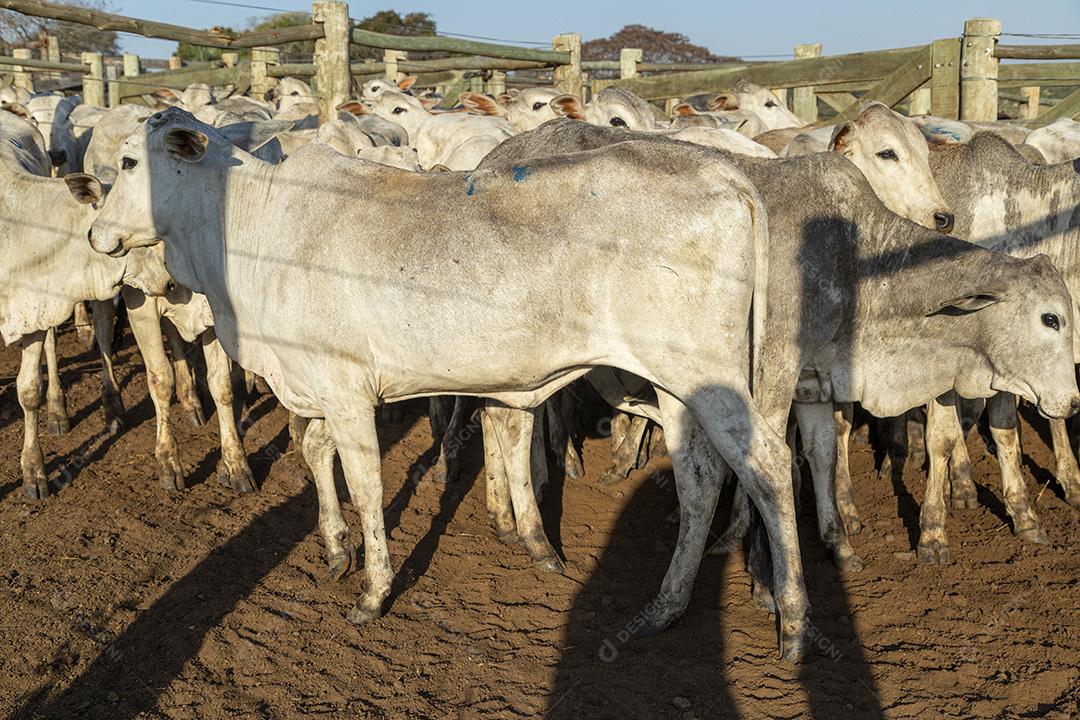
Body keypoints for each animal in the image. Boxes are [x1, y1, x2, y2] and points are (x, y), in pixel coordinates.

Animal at [86, 106, 824, 660]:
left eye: (130, 163)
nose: (95, 233)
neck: (245, 230)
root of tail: (729, 176)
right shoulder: (314, 384)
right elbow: (314, 454)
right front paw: (335, 545)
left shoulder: (348, 392)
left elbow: (365, 482)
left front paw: (374, 592)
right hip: (678, 386)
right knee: (700, 480)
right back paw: (662, 608)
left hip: (707, 373)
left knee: (767, 464)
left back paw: (792, 621)